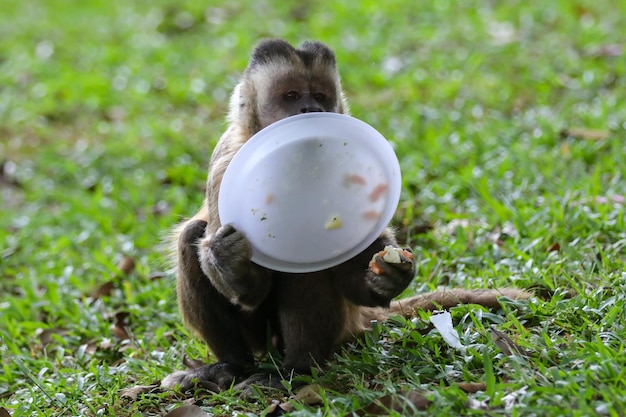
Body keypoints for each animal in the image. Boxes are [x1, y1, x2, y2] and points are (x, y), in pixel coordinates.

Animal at [161, 38, 532, 390]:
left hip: (343, 328)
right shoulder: (226, 163)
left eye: (320, 96)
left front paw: (388, 277)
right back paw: (232, 366)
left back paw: (297, 369)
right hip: (261, 341)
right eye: (291, 95)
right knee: (192, 237)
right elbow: (248, 292)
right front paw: (228, 259)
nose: (310, 109)